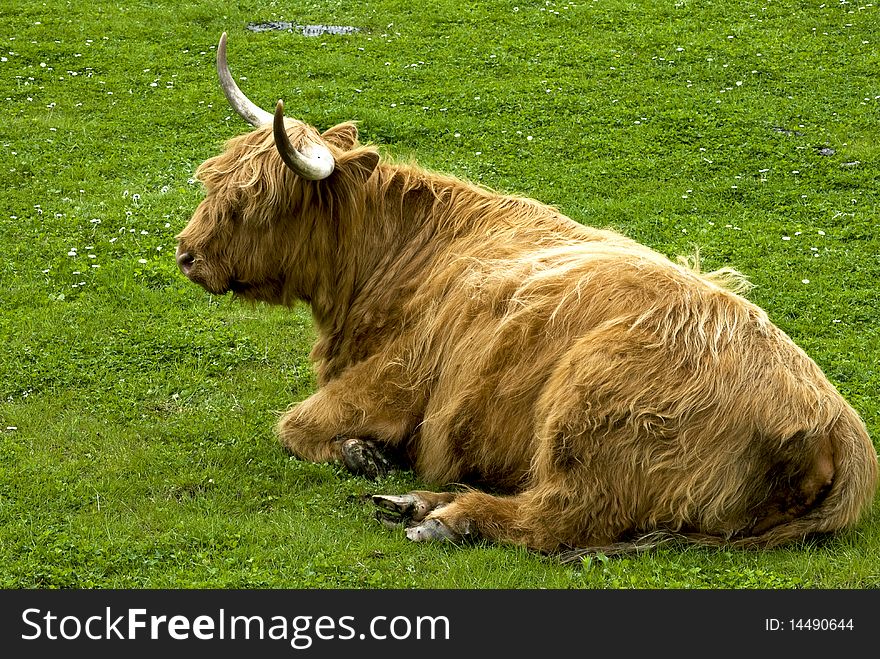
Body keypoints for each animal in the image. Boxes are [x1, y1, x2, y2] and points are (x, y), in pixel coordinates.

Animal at [175, 33, 876, 560]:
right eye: (214, 180)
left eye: (256, 201)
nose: (186, 253)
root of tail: (839, 429)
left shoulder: (395, 379)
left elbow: (293, 423)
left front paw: (359, 452)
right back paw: (416, 501)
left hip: (591, 419)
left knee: (555, 516)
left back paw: (444, 517)